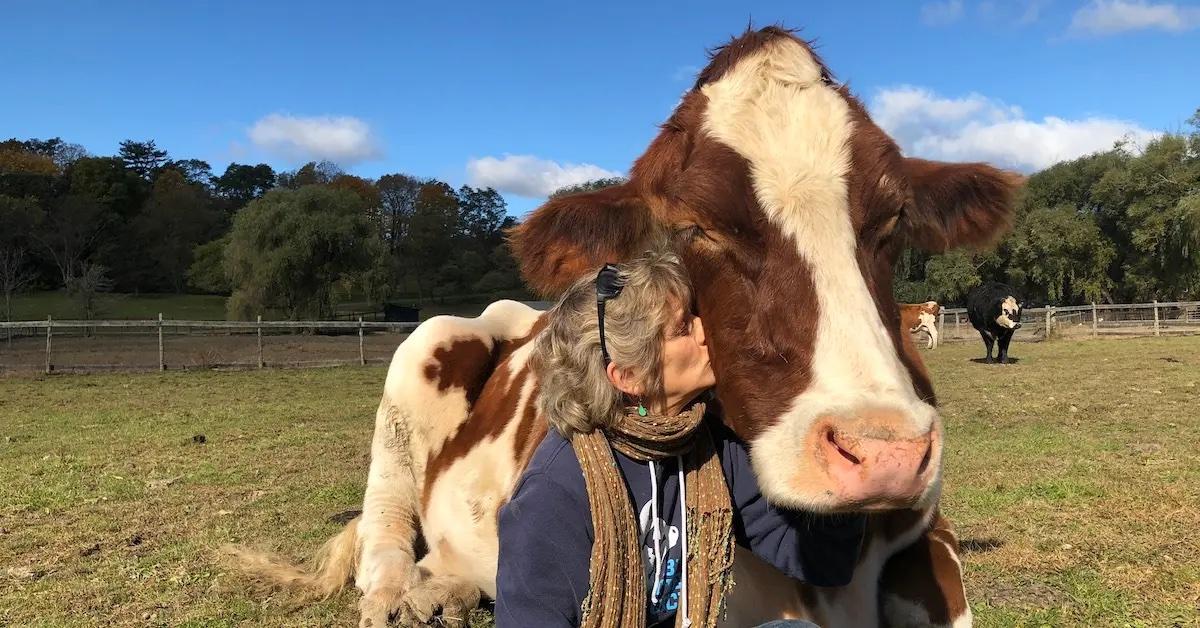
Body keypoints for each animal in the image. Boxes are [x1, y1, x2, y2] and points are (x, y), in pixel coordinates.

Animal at [234, 25, 1022, 628]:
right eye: (695, 225)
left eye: (891, 219)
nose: (883, 451)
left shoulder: (927, 539)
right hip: (419, 353)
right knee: (386, 532)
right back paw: (403, 594)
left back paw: (449, 588)